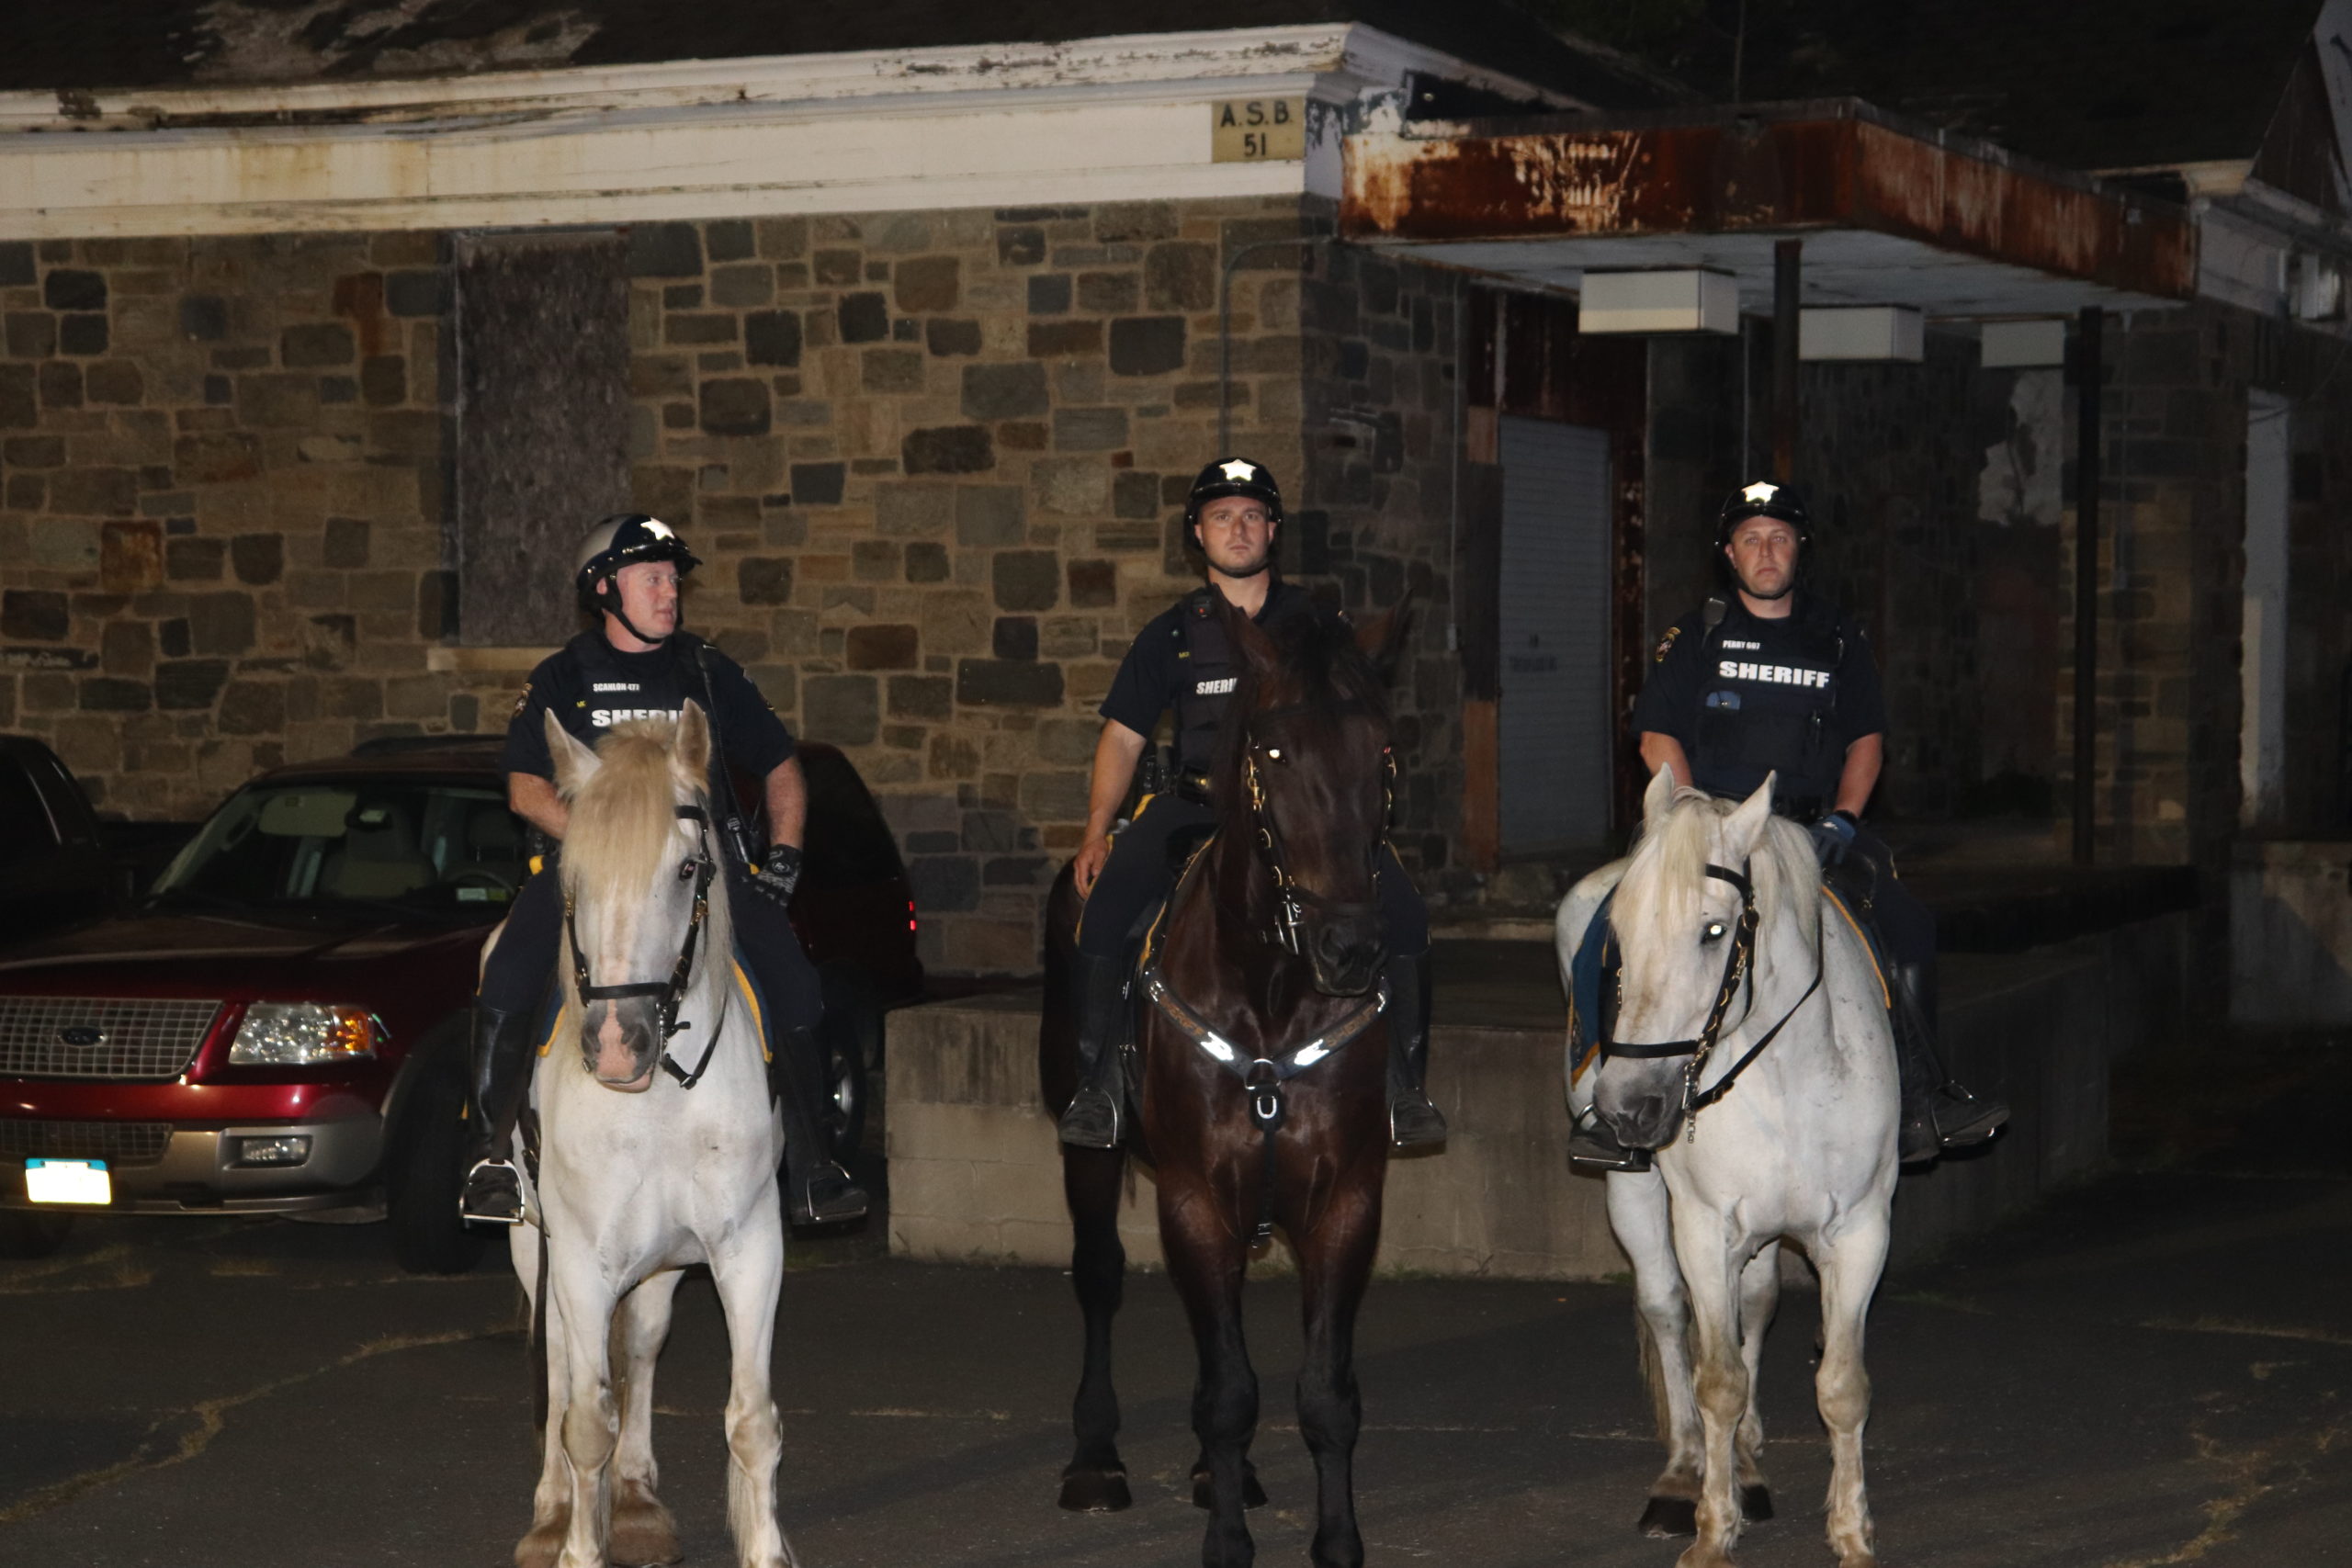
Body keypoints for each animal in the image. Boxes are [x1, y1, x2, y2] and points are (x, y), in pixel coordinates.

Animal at [500, 704, 796, 1568]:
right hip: (533, 1243)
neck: (659, 1096)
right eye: (576, 878)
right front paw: (575, 1543)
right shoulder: (579, 1258)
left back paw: (632, 1501)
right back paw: (553, 1510)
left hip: (662, 1262)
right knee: (561, 1363)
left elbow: (750, 1420)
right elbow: (582, 1420)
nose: (616, 1044)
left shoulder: (747, 1247)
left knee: (640, 1346)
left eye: (689, 868)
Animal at [1042, 595, 1404, 1568]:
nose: (1351, 947)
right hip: (1089, 1153)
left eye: (1378, 749)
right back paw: (1094, 1457)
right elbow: (1230, 1392)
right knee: (1099, 1275)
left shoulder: (1346, 1200)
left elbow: (1326, 1396)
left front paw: (1337, 1541)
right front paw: (1228, 1542)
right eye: (1273, 752)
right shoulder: (1195, 1201)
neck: (1271, 986)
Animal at [1555, 770, 1899, 1568]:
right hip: (1635, 1194)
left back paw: (1744, 1457)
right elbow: (1715, 1378)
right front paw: (1712, 1529)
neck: (1786, 1077)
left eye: (1714, 930)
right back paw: (1686, 1471)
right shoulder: (1705, 1229)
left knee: (1758, 1306)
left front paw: (1852, 1532)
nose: (1630, 1106)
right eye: (1620, 936)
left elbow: (1842, 1383)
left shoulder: (1860, 1230)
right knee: (1664, 1308)